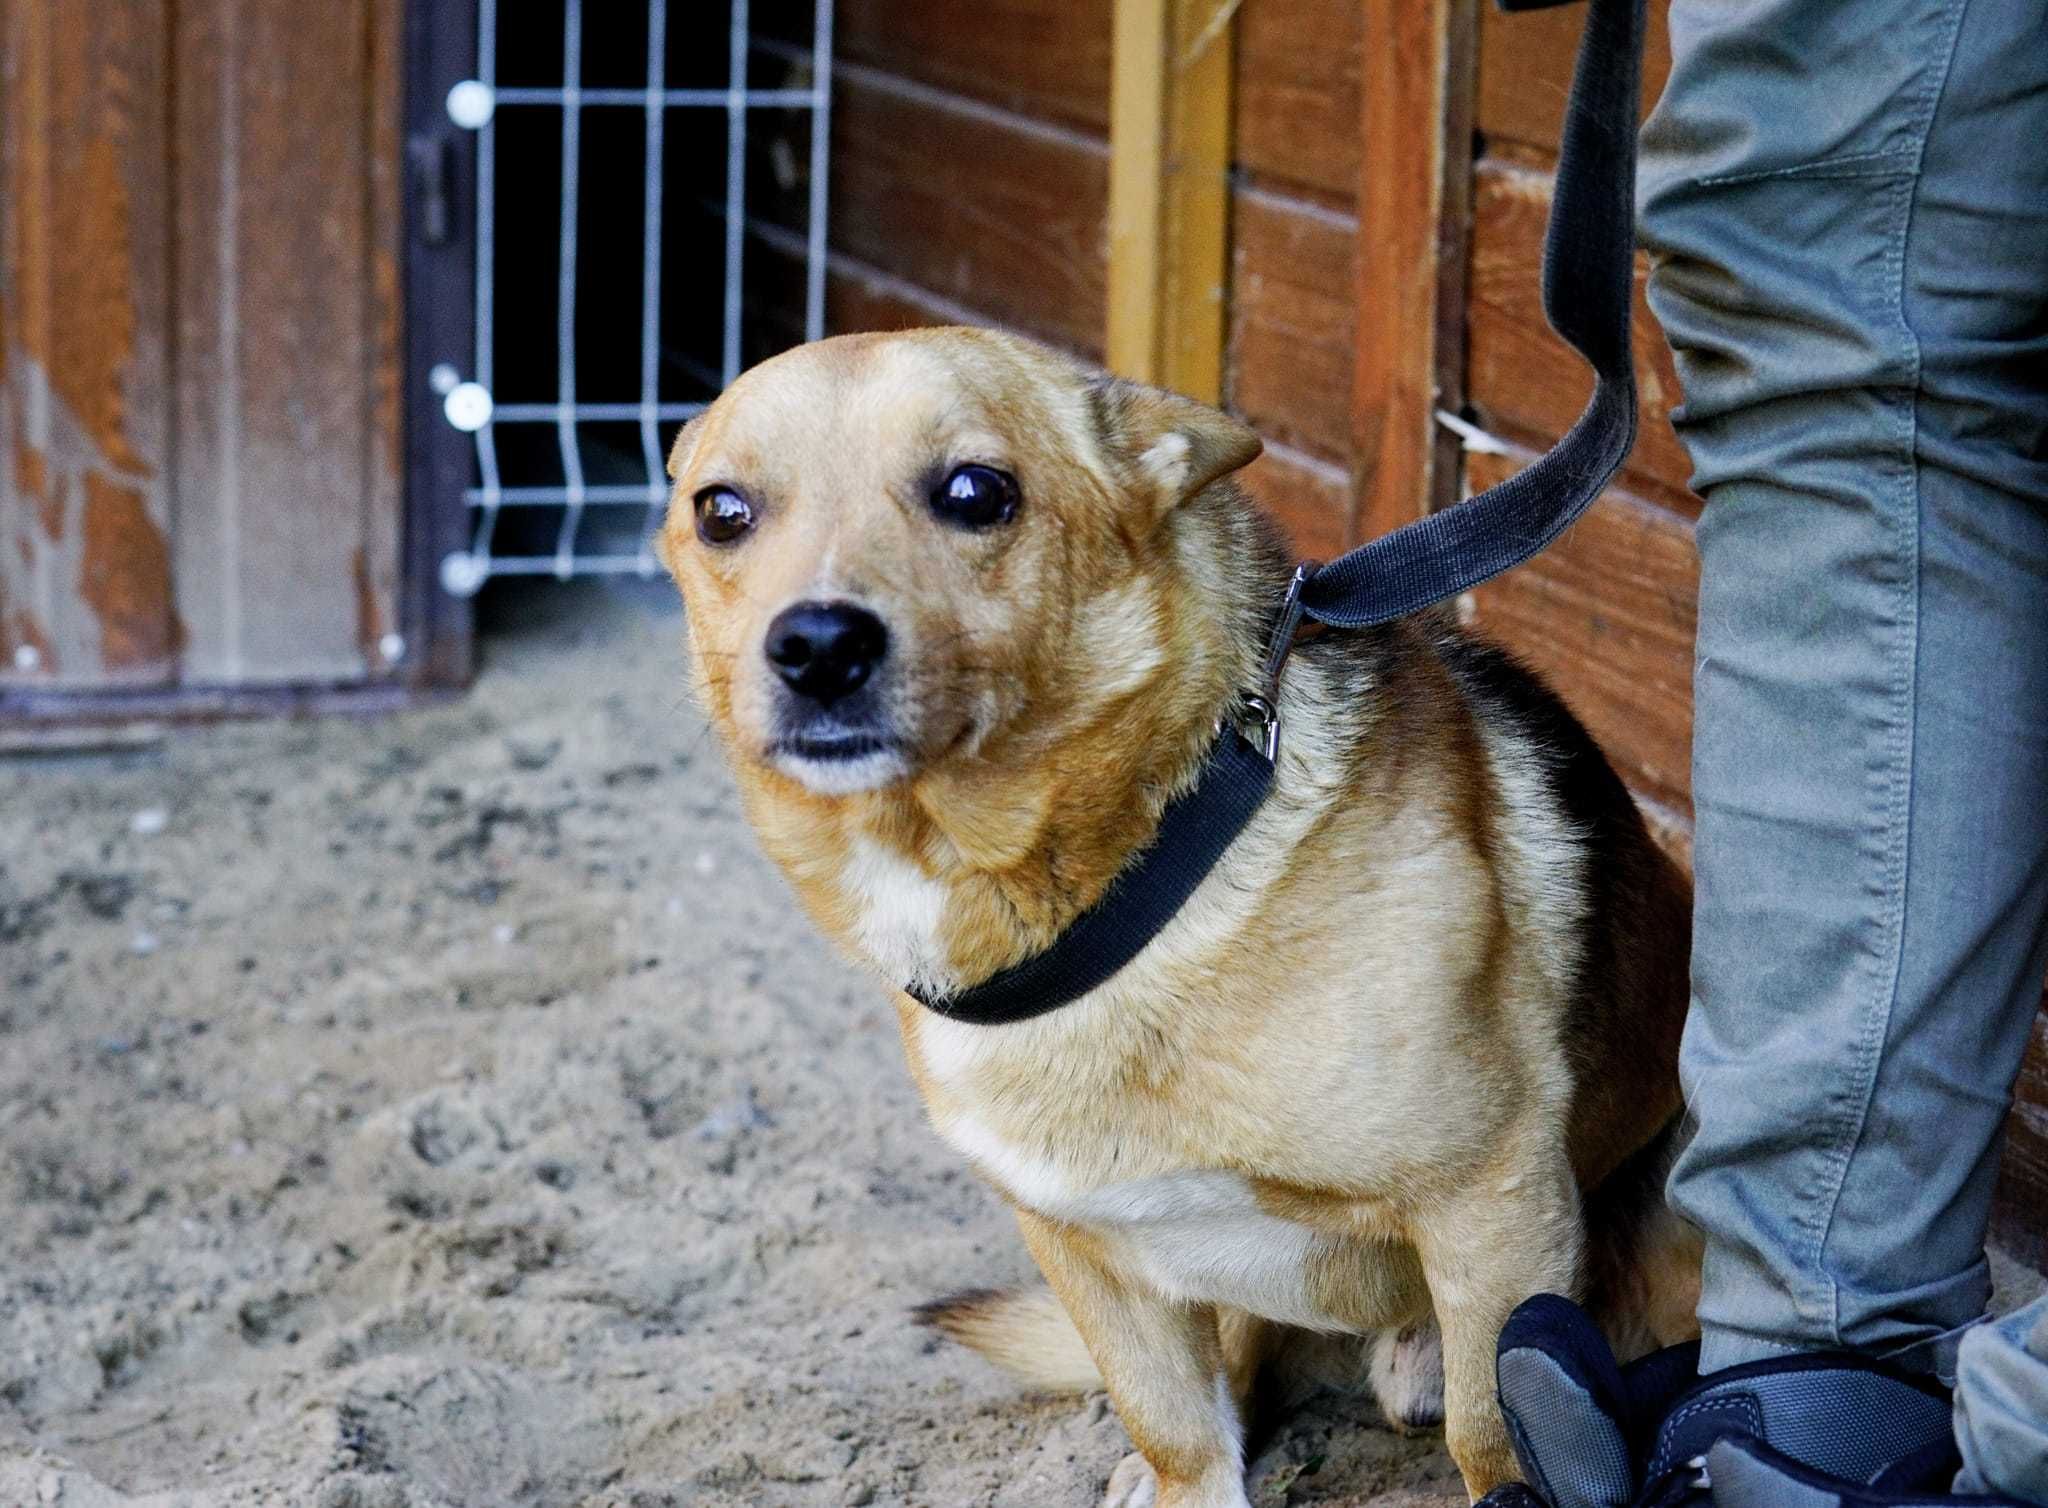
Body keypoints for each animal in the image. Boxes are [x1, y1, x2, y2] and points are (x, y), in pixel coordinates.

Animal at [655, 331, 1695, 1508]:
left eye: (975, 492)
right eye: (722, 511)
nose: (817, 647)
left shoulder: (1493, 1200)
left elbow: (1497, 1436)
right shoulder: (1079, 1244)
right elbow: (1179, 1433)